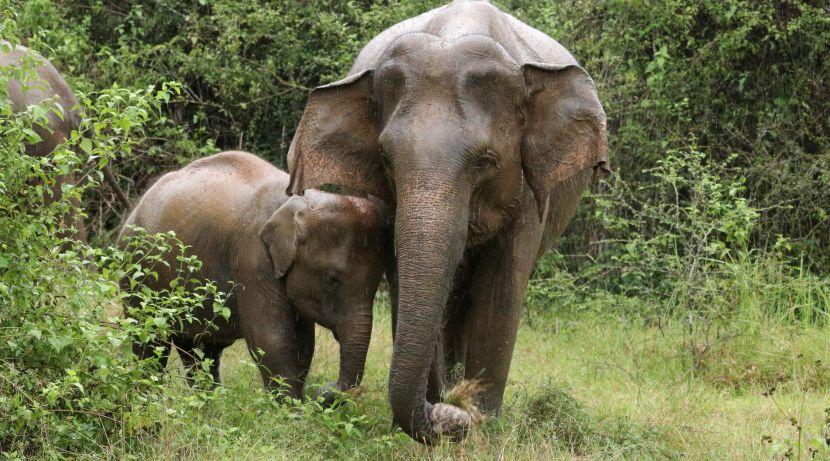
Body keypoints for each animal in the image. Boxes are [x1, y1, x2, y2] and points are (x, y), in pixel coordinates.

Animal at [120, 150, 390, 398]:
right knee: (149, 340)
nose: (326, 391)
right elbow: (272, 340)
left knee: (201, 350)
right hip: (136, 275)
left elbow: (304, 344)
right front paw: (291, 411)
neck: (303, 202)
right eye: (332, 280)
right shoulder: (252, 261)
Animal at [290, 0, 608, 442]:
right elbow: (405, 278)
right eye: (385, 159)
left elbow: (501, 289)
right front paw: (429, 418)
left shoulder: (528, 189)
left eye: (485, 161)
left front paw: (483, 428)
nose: (324, 393)